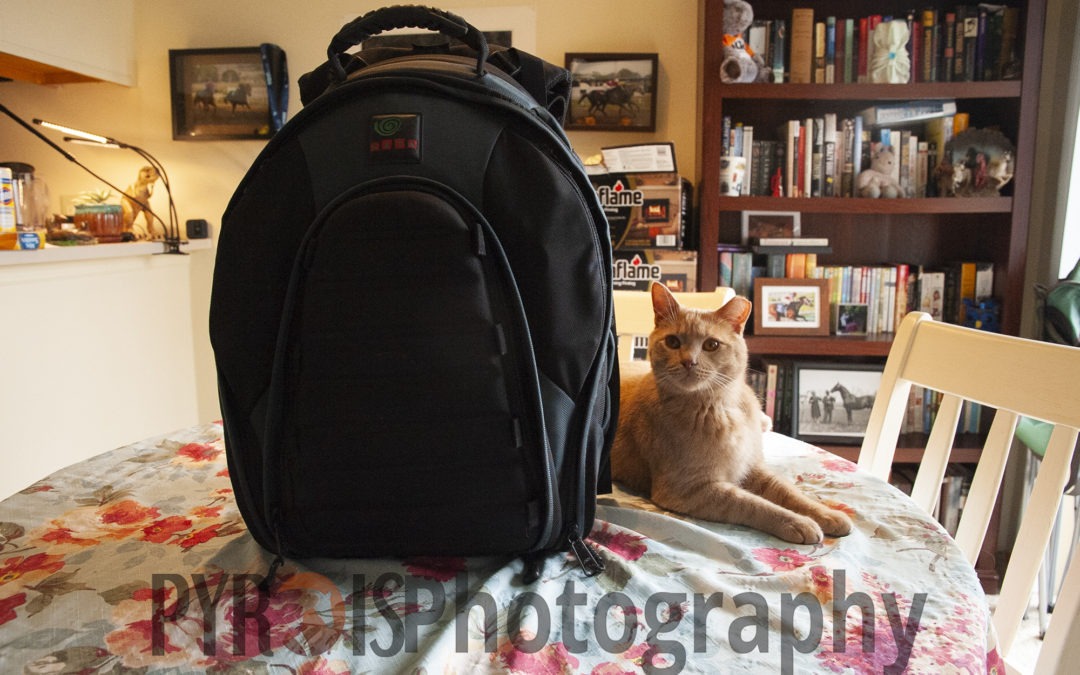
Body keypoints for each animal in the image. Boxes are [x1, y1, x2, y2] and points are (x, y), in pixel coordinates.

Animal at [609, 280, 851, 544]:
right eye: (672, 342)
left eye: (711, 345)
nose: (689, 362)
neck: (721, 407)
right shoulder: (686, 490)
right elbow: (752, 504)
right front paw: (798, 522)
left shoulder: (754, 468)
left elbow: (790, 492)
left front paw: (827, 515)